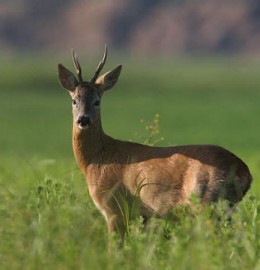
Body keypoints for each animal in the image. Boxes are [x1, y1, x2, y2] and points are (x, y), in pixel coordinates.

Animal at [57, 46, 252, 238]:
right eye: (74, 100)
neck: (97, 160)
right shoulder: (144, 215)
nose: (83, 120)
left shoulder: (114, 208)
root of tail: (245, 172)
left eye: (97, 101)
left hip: (207, 202)